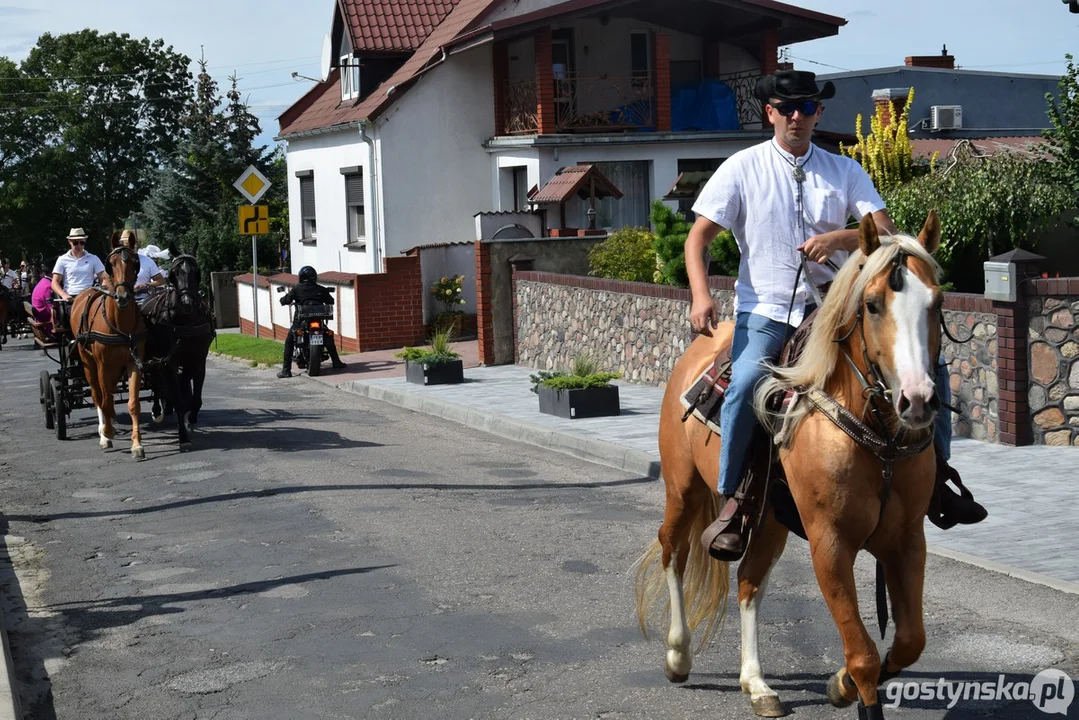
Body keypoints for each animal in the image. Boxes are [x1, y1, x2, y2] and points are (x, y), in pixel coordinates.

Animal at [69, 239, 148, 459]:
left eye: (134, 263)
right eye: (111, 264)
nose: (122, 297)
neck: (120, 325)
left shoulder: (133, 362)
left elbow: (133, 403)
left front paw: (137, 444)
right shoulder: (103, 366)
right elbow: (104, 400)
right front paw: (107, 433)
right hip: (88, 363)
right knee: (98, 396)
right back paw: (104, 431)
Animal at [139, 252, 214, 444]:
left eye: (196, 272)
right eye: (175, 273)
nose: (187, 302)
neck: (186, 322)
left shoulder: (198, 359)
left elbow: (194, 396)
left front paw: (192, 416)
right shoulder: (169, 362)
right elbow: (177, 396)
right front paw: (182, 433)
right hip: (151, 357)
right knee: (156, 381)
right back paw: (158, 410)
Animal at [634, 211, 940, 716]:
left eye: (936, 302)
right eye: (872, 305)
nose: (917, 400)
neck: (874, 436)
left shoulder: (907, 540)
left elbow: (910, 641)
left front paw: (839, 684)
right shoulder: (829, 543)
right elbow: (863, 655)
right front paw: (850, 686)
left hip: (769, 518)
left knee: (748, 582)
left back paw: (756, 683)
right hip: (684, 488)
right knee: (672, 550)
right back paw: (678, 655)